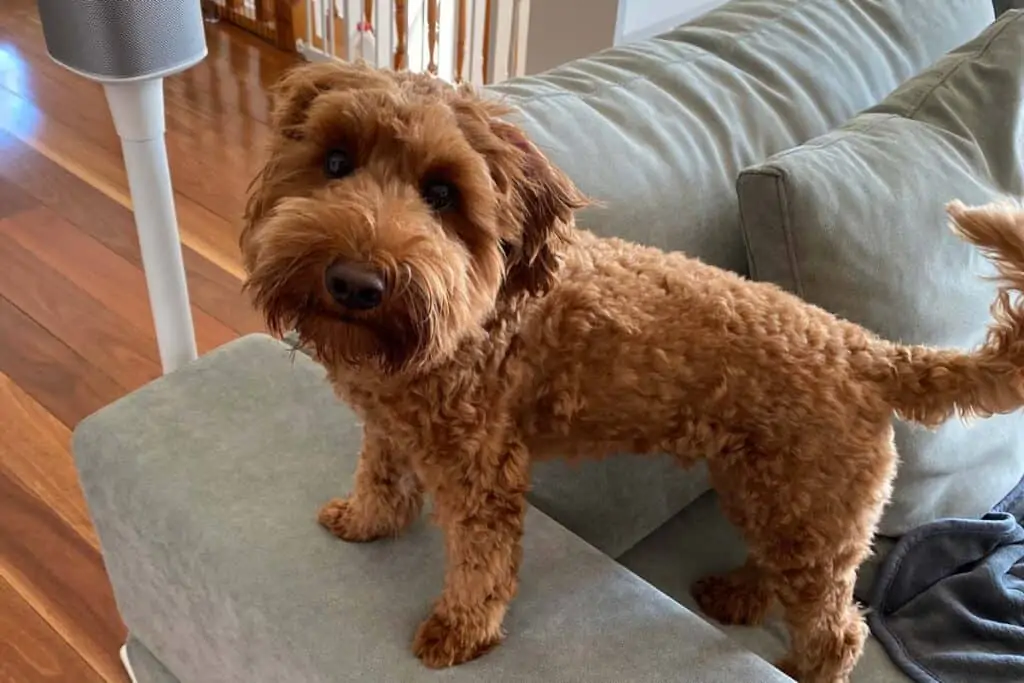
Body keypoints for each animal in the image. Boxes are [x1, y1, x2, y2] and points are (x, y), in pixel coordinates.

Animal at [237, 60, 1024, 683]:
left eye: (442, 193)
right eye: (335, 162)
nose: (355, 283)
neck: (472, 318)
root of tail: (868, 351)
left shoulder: (481, 473)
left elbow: (481, 563)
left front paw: (460, 631)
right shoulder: (391, 424)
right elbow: (379, 476)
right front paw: (365, 519)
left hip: (809, 509)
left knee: (838, 631)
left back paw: (803, 666)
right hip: (772, 493)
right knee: (787, 574)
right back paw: (738, 595)